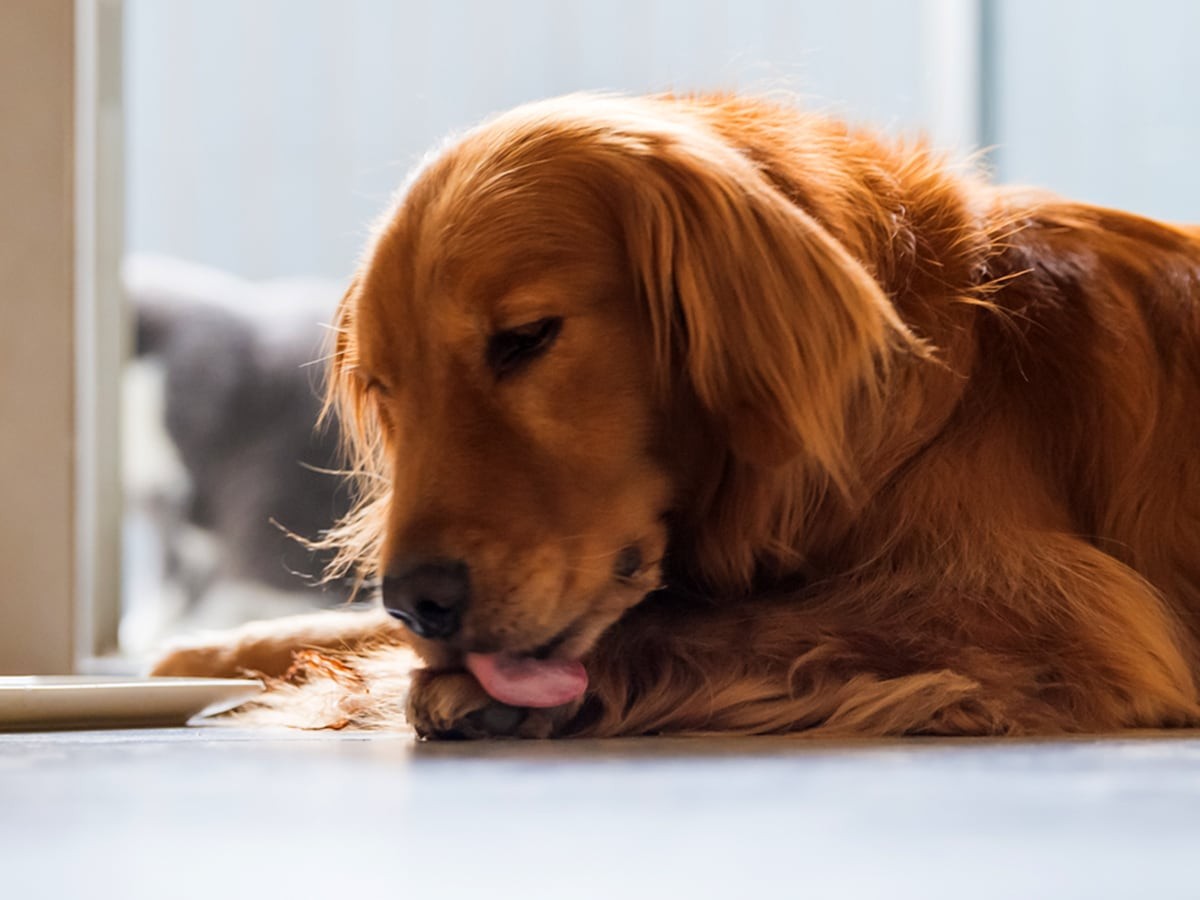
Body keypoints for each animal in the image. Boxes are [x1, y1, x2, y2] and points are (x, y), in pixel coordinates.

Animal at [150, 93, 1200, 739]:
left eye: (524, 339)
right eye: (387, 388)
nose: (422, 599)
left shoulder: (1052, 610)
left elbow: (753, 620)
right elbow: (337, 630)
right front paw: (212, 653)